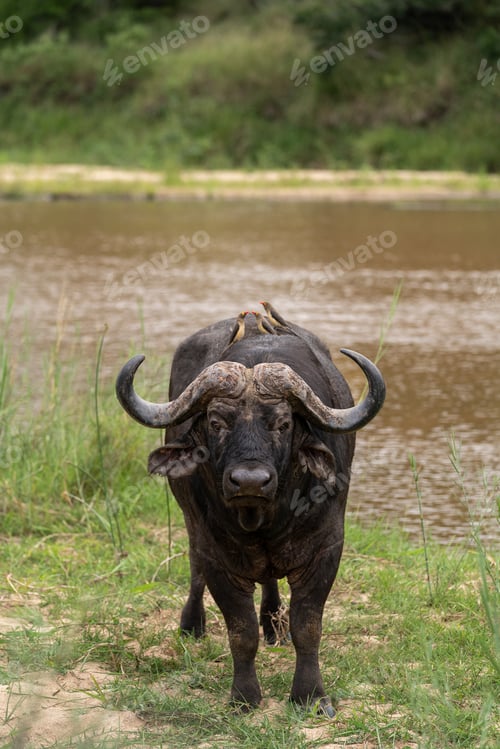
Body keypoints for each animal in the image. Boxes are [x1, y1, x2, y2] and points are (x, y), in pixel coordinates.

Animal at [116, 306, 385, 717]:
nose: (250, 482)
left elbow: (308, 628)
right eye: (216, 422)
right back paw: (192, 624)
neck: (264, 519)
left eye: (283, 423)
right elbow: (240, 632)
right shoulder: (218, 558)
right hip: (191, 525)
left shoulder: (327, 549)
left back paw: (273, 624)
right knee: (194, 568)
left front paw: (310, 695)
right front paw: (243, 696)